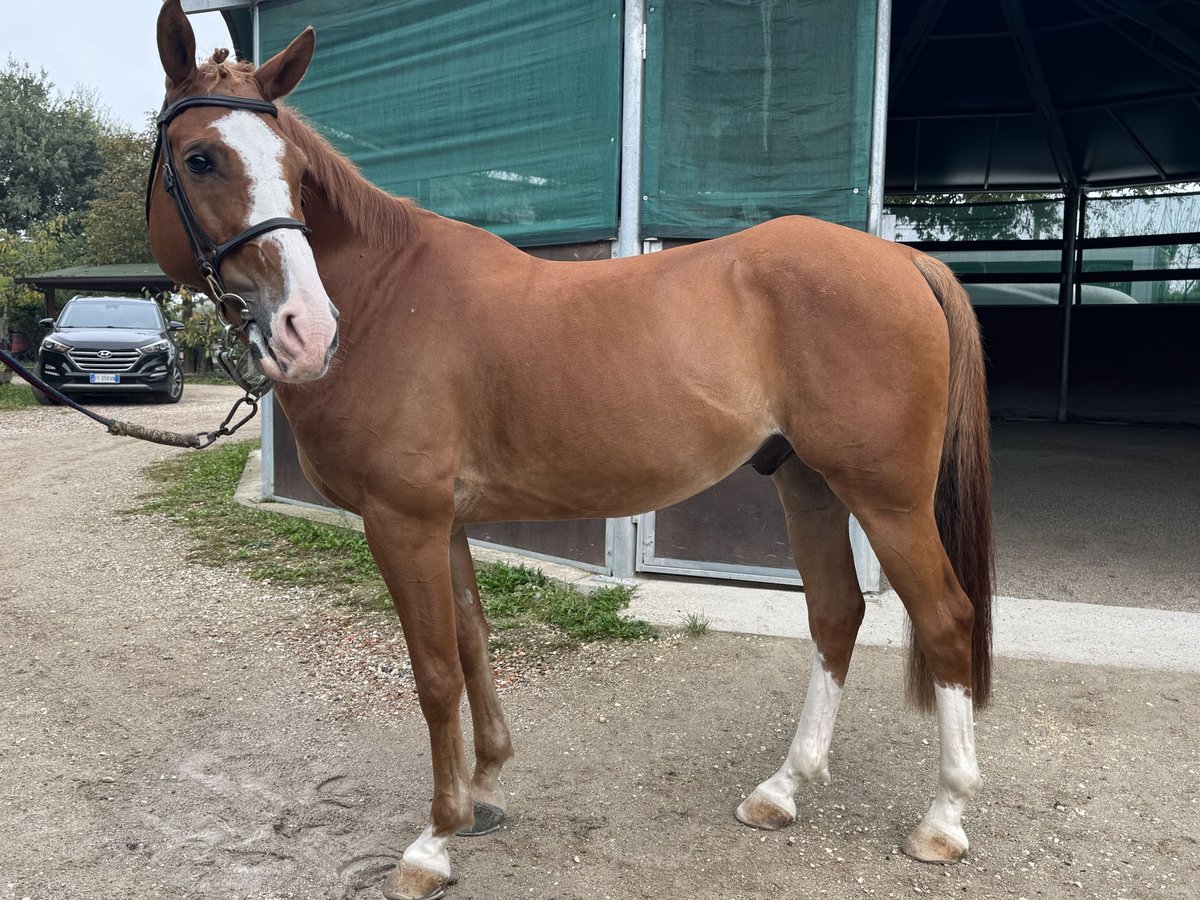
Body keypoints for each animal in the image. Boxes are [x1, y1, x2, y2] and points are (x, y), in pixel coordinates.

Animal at [150, 3, 993, 897]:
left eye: (294, 167)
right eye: (201, 158)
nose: (305, 331)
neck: (385, 300)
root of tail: (901, 258)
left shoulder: (402, 521)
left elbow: (435, 671)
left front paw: (434, 839)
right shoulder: (446, 522)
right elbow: (473, 642)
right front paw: (484, 789)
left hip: (887, 499)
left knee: (945, 620)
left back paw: (942, 820)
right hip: (808, 483)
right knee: (836, 615)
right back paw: (782, 790)